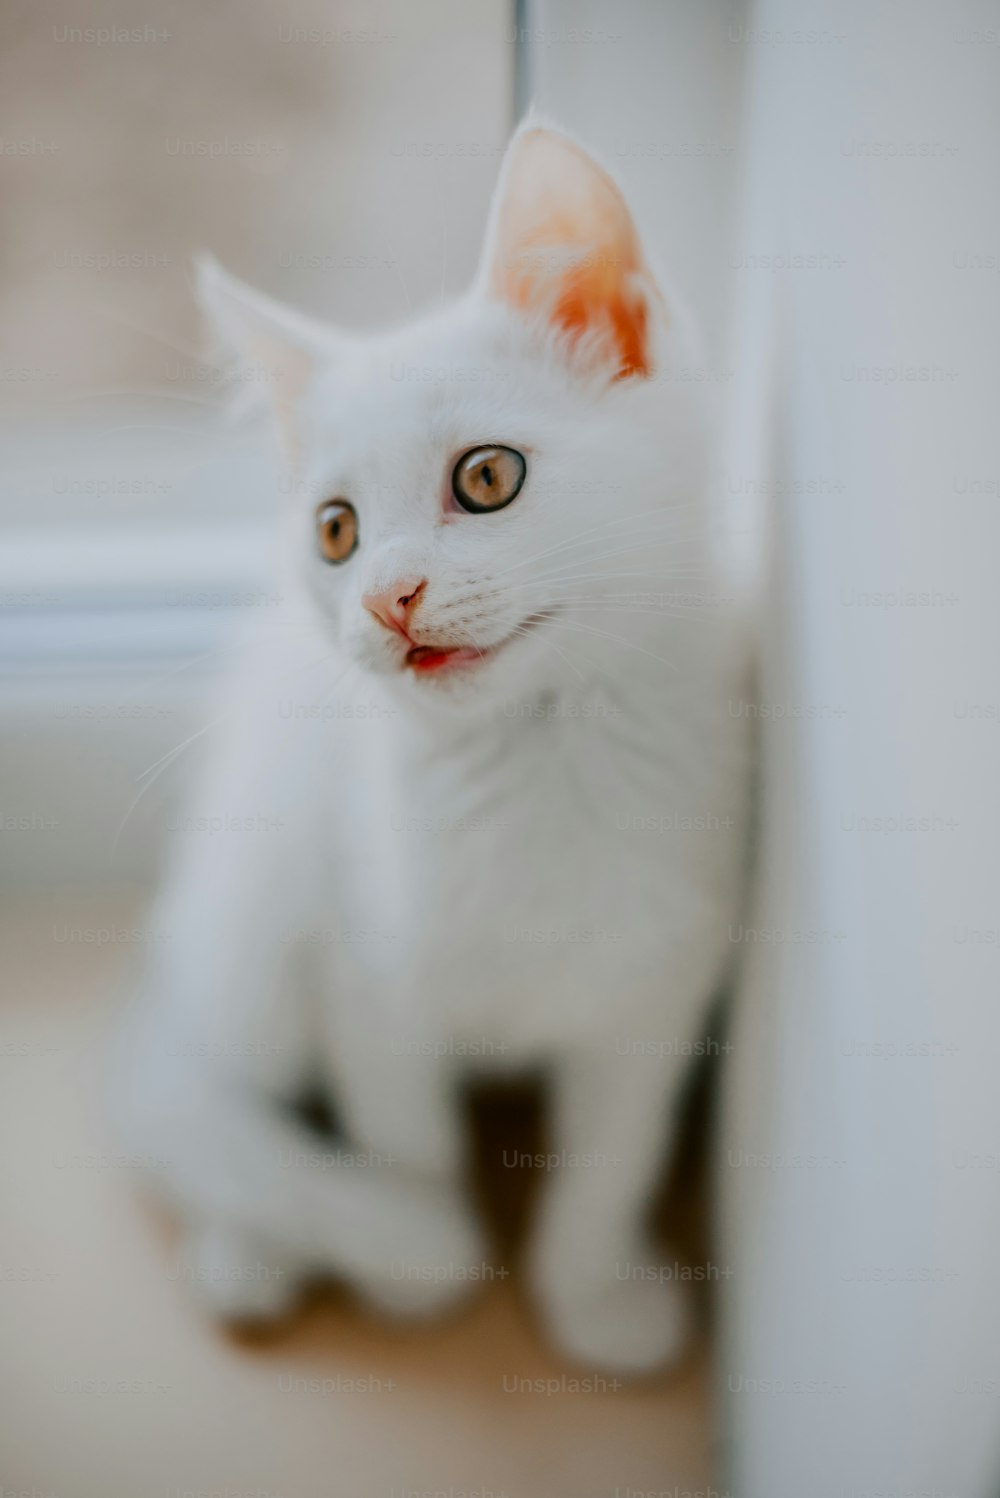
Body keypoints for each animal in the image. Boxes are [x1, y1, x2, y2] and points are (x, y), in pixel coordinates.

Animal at [117, 122, 748, 1372]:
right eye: (335, 530)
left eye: (487, 475)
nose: (387, 598)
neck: (534, 758)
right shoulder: (361, 954)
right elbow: (399, 1125)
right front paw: (415, 1261)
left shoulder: (659, 976)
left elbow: (614, 1147)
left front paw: (592, 1292)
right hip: (253, 906)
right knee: (193, 1093)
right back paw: (250, 1246)